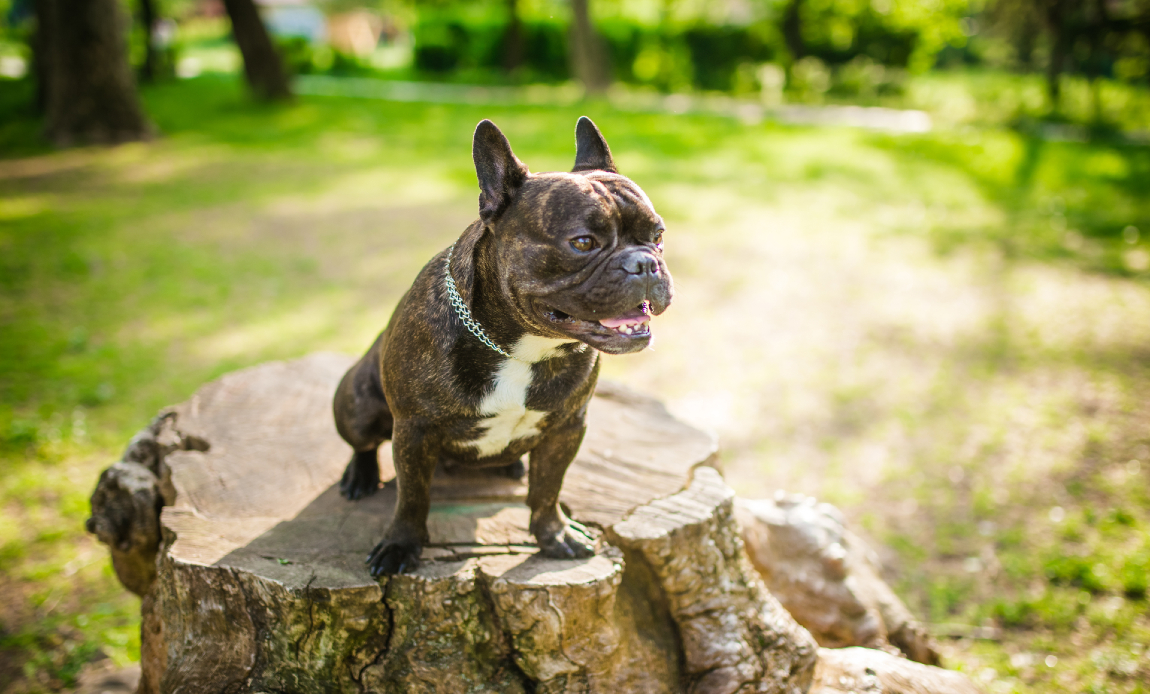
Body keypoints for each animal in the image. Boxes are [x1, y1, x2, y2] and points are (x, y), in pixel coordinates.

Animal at [333, 117, 671, 575]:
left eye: (658, 235)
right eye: (583, 242)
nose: (645, 263)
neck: (523, 350)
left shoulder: (567, 427)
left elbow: (547, 489)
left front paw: (555, 535)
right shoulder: (413, 432)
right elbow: (412, 498)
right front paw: (400, 545)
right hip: (357, 404)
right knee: (364, 442)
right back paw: (360, 475)